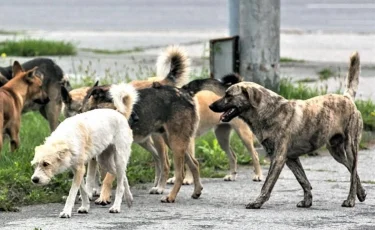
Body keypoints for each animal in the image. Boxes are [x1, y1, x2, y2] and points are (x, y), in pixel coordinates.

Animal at [30, 84, 139, 217]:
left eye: (46, 164)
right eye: (35, 165)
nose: (34, 180)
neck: (65, 139)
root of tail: (120, 114)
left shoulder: (79, 170)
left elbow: (72, 193)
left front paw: (66, 211)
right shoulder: (77, 169)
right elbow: (83, 191)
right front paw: (85, 207)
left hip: (118, 158)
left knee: (120, 184)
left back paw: (116, 206)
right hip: (104, 161)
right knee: (122, 177)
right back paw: (129, 198)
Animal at [212, 51, 368, 208]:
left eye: (229, 95)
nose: (210, 105)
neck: (269, 111)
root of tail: (346, 98)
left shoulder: (278, 158)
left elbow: (267, 184)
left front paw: (257, 202)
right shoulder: (291, 159)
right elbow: (303, 180)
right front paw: (307, 200)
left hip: (350, 147)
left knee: (353, 172)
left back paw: (351, 200)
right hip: (336, 152)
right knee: (352, 170)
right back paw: (360, 193)